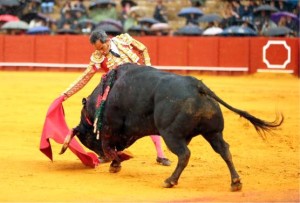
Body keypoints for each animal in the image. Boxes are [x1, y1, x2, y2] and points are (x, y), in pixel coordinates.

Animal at [59, 63, 282, 190]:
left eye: (87, 141)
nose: (99, 160)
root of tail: (197, 86)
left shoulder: (108, 128)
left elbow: (108, 146)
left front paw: (115, 164)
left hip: (171, 134)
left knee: (184, 154)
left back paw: (170, 181)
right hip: (213, 132)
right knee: (224, 150)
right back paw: (235, 182)